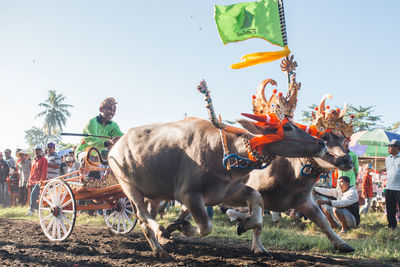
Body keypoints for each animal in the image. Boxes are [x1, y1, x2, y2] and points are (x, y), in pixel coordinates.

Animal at [108, 117, 326, 258]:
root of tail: (115, 146)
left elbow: (256, 199)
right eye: (287, 126)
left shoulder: (227, 191)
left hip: (154, 194)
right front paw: (183, 227)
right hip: (128, 186)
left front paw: (245, 224)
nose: (322, 143)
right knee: (142, 215)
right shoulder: (188, 195)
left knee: (145, 220)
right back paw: (162, 234)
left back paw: (159, 247)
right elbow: (206, 226)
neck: (224, 151)